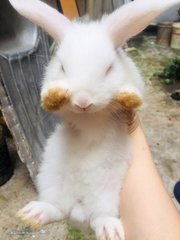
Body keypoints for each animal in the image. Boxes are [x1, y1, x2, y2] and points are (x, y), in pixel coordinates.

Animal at [9, 0, 180, 240]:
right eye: (62, 67)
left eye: (109, 69)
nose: (83, 101)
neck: (90, 117)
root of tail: (78, 206)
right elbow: (52, 98)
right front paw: (55, 95)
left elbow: (131, 92)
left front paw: (128, 97)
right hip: (51, 178)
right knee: (57, 208)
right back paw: (33, 214)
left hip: (108, 194)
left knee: (99, 217)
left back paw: (110, 230)